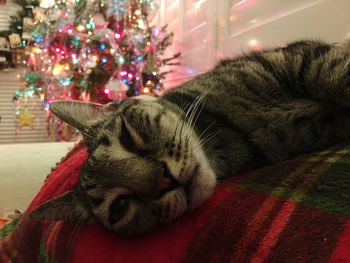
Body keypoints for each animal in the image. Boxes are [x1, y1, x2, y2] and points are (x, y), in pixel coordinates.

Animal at [30, 40, 350, 235]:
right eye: (119, 206)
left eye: (127, 137)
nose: (164, 181)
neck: (233, 131)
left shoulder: (294, 57)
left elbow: (334, 70)